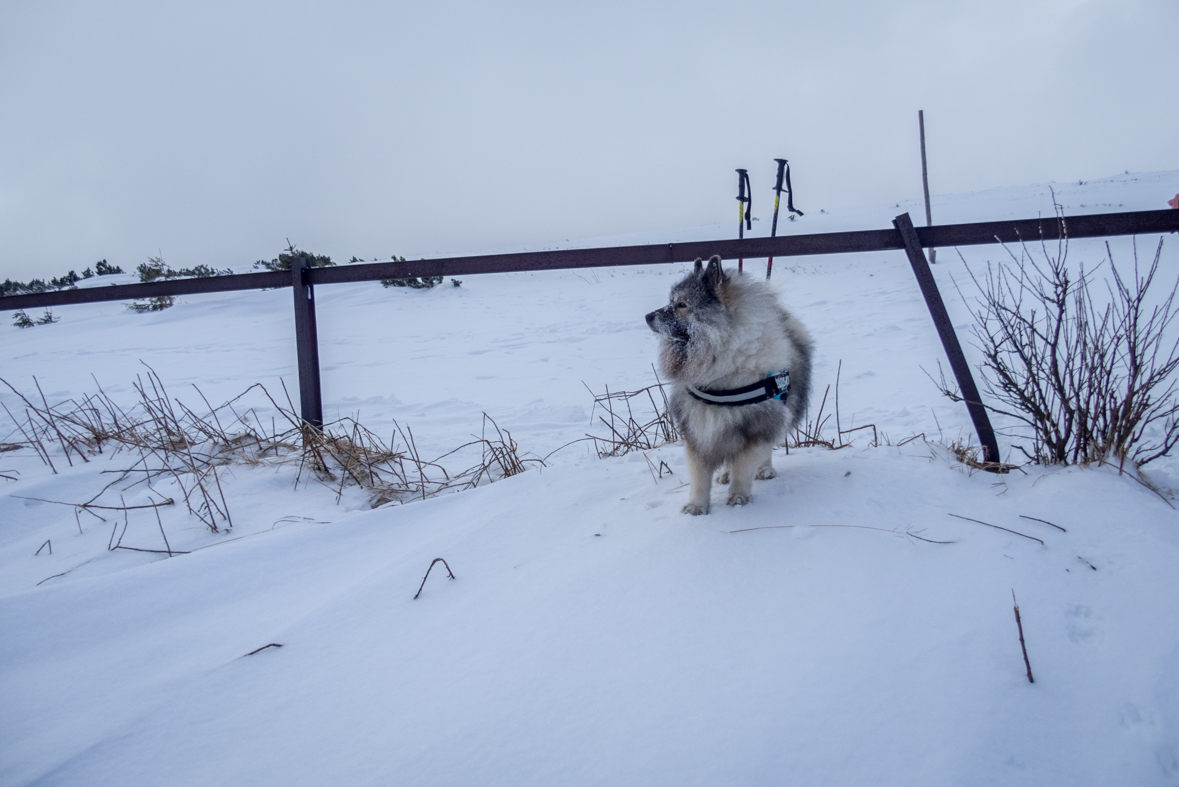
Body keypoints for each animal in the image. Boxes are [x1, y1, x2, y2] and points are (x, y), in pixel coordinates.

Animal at [646, 258, 811, 513]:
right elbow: (699, 475)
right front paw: (696, 506)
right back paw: (724, 475)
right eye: (671, 301)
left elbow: (744, 468)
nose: (647, 316)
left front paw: (739, 497)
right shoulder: (699, 429)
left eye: (681, 304)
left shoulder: (757, 428)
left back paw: (765, 470)